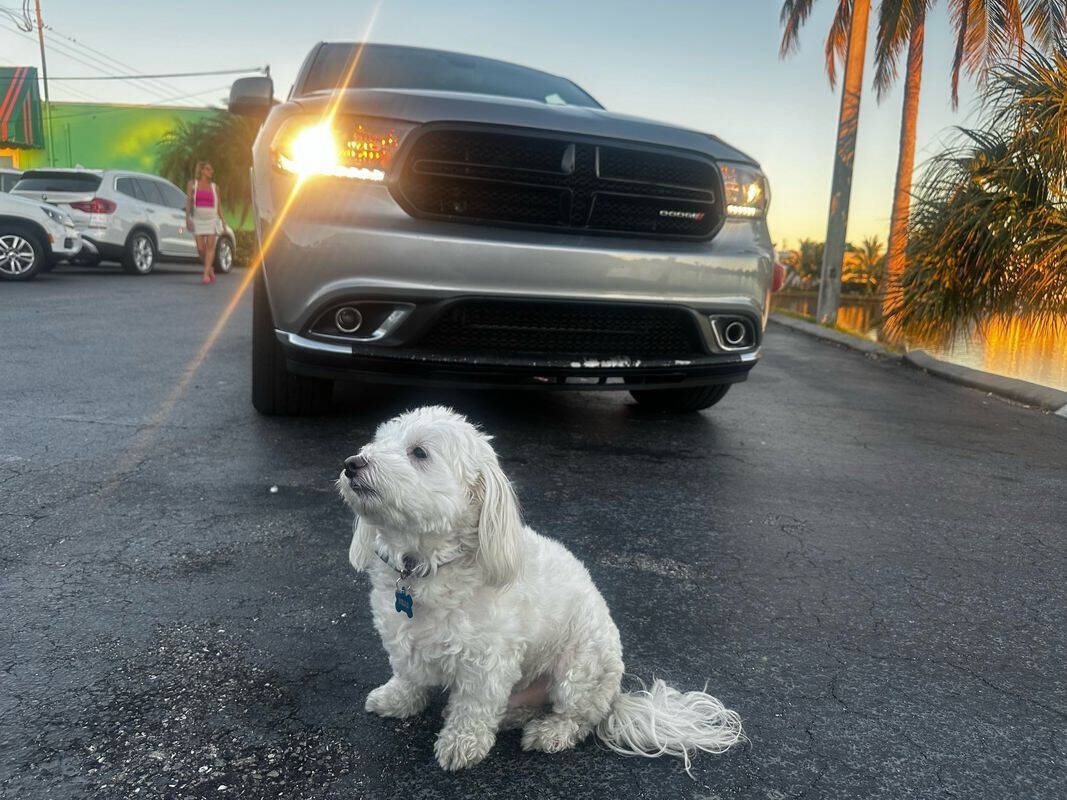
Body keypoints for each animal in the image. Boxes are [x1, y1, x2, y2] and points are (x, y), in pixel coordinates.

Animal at [337, 407, 738, 772]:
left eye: (419, 452)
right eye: (377, 442)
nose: (352, 463)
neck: (422, 566)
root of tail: (616, 698)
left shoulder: (487, 662)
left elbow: (473, 708)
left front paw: (461, 743)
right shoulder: (402, 634)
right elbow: (408, 673)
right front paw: (398, 699)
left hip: (579, 669)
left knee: (579, 718)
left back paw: (550, 732)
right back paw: (514, 717)